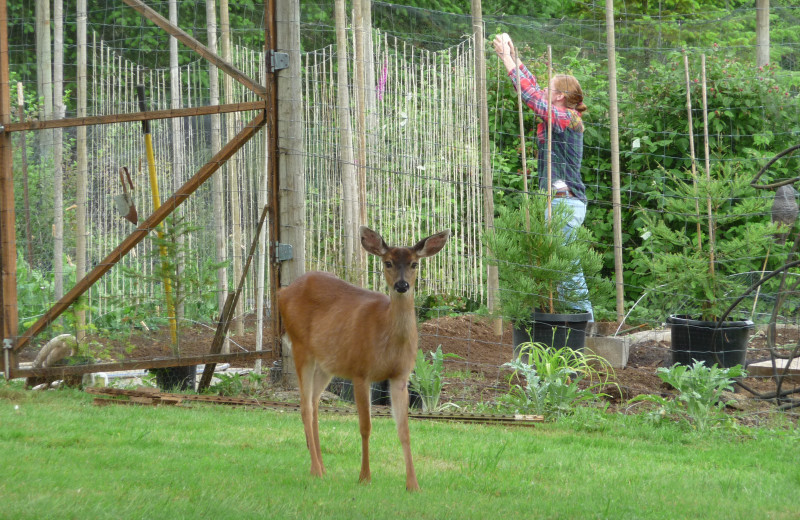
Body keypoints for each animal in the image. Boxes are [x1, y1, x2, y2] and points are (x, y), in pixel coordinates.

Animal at [276, 224, 450, 492]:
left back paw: (323, 468)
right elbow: (365, 427)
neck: (386, 336)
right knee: (304, 406)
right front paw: (365, 477)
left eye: (414, 263)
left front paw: (413, 484)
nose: (402, 285)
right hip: (300, 347)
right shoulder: (360, 371)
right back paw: (315, 470)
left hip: (326, 363)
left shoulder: (400, 376)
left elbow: (404, 430)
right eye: (388, 262)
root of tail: (282, 291)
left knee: (314, 404)